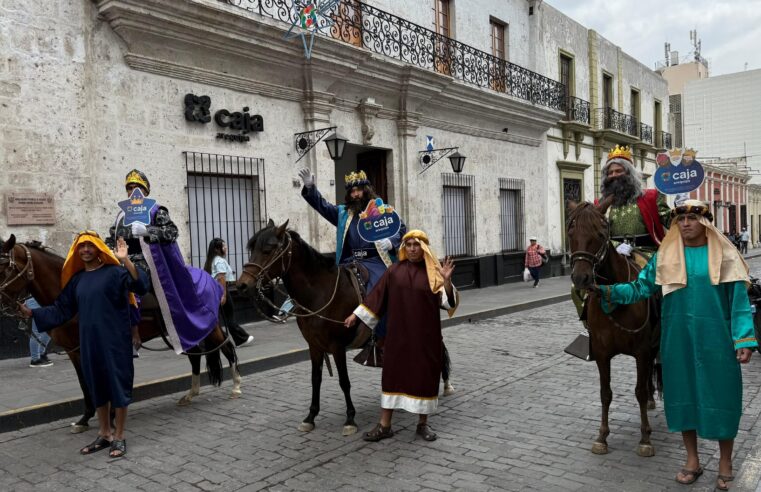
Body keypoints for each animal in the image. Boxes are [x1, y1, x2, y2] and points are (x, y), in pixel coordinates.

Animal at [0, 234, 240, 430]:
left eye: (4, 267)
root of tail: (210, 279)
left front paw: (111, 416)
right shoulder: (74, 351)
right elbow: (84, 383)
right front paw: (85, 419)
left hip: (209, 328)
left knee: (227, 347)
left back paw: (236, 387)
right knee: (195, 357)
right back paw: (190, 394)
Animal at [564, 200, 660, 458]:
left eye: (600, 234)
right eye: (571, 232)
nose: (581, 278)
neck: (616, 296)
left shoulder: (641, 351)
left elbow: (638, 391)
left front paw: (645, 439)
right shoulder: (601, 353)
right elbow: (605, 393)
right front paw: (602, 437)